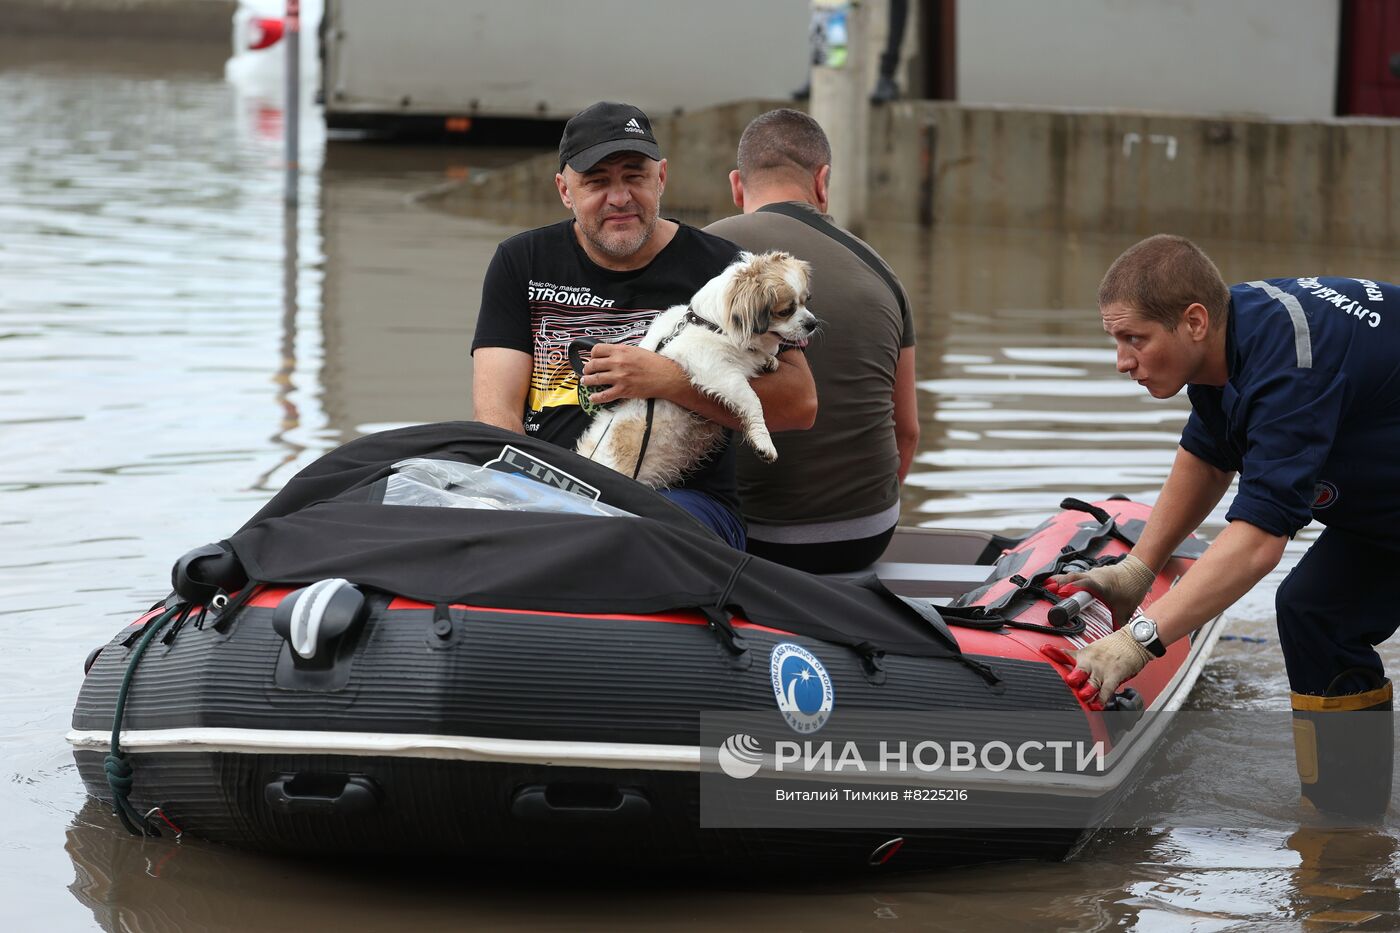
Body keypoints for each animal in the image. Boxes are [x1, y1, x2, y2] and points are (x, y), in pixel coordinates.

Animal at [576, 250, 817, 487]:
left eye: (806, 301)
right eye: (786, 311)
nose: (813, 323)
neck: (714, 326)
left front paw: (769, 360)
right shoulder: (717, 371)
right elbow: (752, 401)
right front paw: (763, 441)